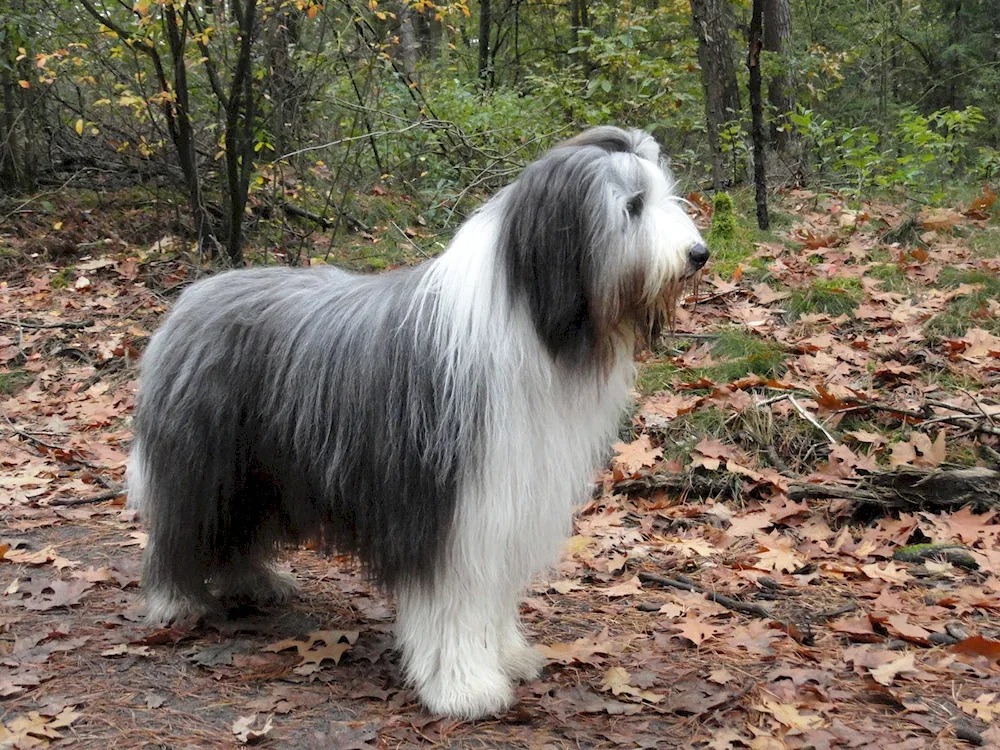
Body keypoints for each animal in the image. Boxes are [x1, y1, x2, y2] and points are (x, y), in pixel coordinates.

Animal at [129, 126, 708, 720]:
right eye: (633, 205)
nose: (699, 254)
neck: (531, 318)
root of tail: (191, 297)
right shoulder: (447, 508)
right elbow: (454, 602)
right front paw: (465, 686)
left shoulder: (504, 501)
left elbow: (493, 595)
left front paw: (508, 656)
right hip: (206, 464)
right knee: (183, 527)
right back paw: (177, 602)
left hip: (258, 474)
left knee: (237, 533)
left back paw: (256, 582)